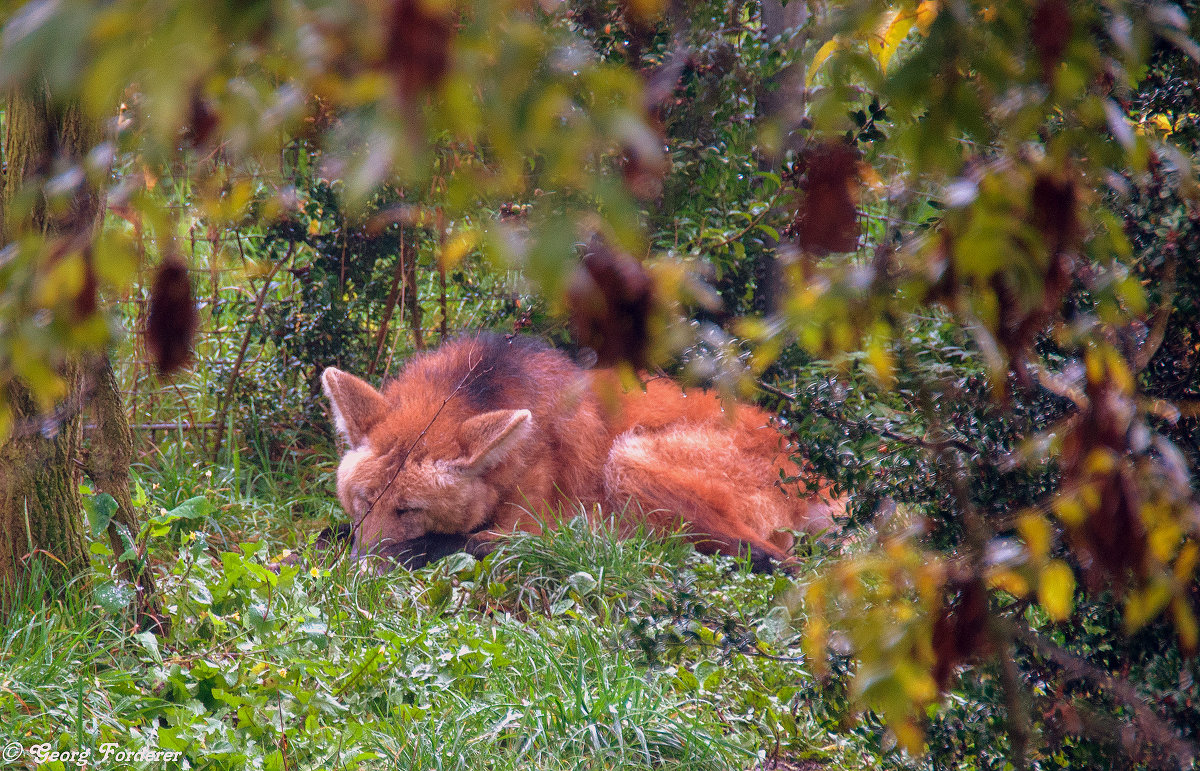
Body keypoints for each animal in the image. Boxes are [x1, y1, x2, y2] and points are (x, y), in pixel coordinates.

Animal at [321, 333, 844, 566]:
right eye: (365, 500)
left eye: (408, 509)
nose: (360, 571)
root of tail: (820, 478)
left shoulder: (532, 525)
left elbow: (461, 541)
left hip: (629, 458)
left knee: (779, 562)